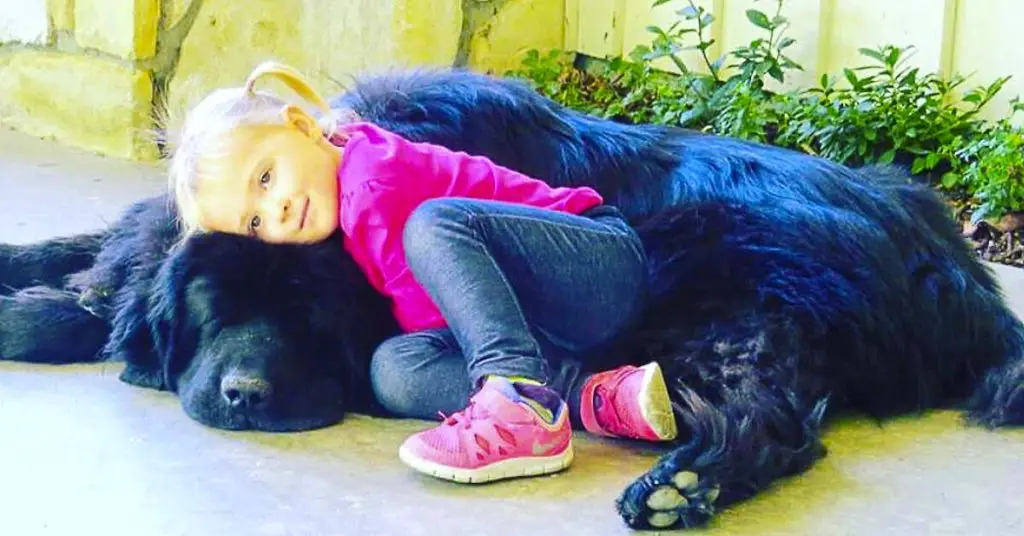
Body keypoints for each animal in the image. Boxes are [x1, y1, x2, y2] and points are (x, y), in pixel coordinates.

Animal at [2, 67, 1024, 528]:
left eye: (309, 316)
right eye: (215, 309)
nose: (247, 395)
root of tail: (951, 254)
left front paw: (42, 319)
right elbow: (93, 250)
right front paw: (35, 283)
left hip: (724, 299)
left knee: (773, 417)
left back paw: (681, 484)